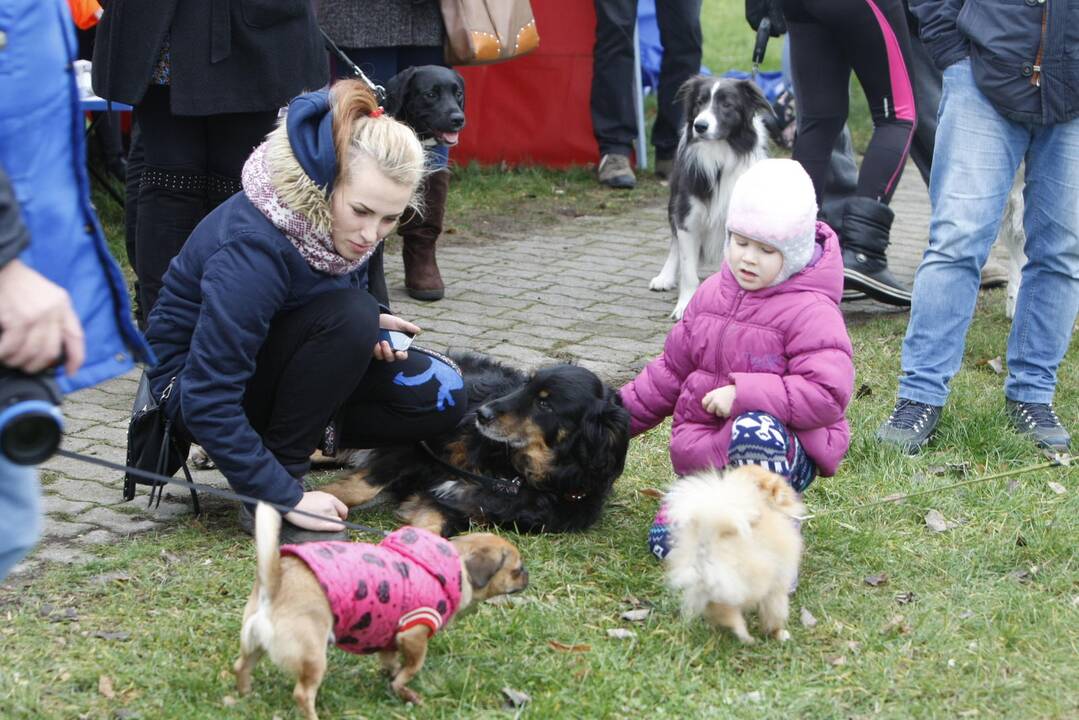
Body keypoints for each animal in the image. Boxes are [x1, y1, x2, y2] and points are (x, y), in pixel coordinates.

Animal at [234, 505, 528, 716]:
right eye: (516, 570)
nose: (527, 576)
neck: (454, 566)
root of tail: (273, 587)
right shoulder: (414, 634)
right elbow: (412, 667)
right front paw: (404, 688)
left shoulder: (389, 638)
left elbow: (391, 662)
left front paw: (393, 678)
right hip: (313, 655)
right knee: (303, 694)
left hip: (253, 645)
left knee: (241, 666)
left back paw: (245, 695)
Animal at [317, 351, 630, 537]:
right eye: (525, 386)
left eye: (544, 403)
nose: (481, 414)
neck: (514, 474)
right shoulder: (414, 446)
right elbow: (362, 485)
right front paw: (322, 502)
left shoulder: (460, 507)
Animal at [660, 464, 807, 643]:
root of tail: (707, 547)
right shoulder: (777, 586)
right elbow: (773, 615)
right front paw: (778, 634)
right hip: (744, 587)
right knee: (731, 614)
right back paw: (747, 638)